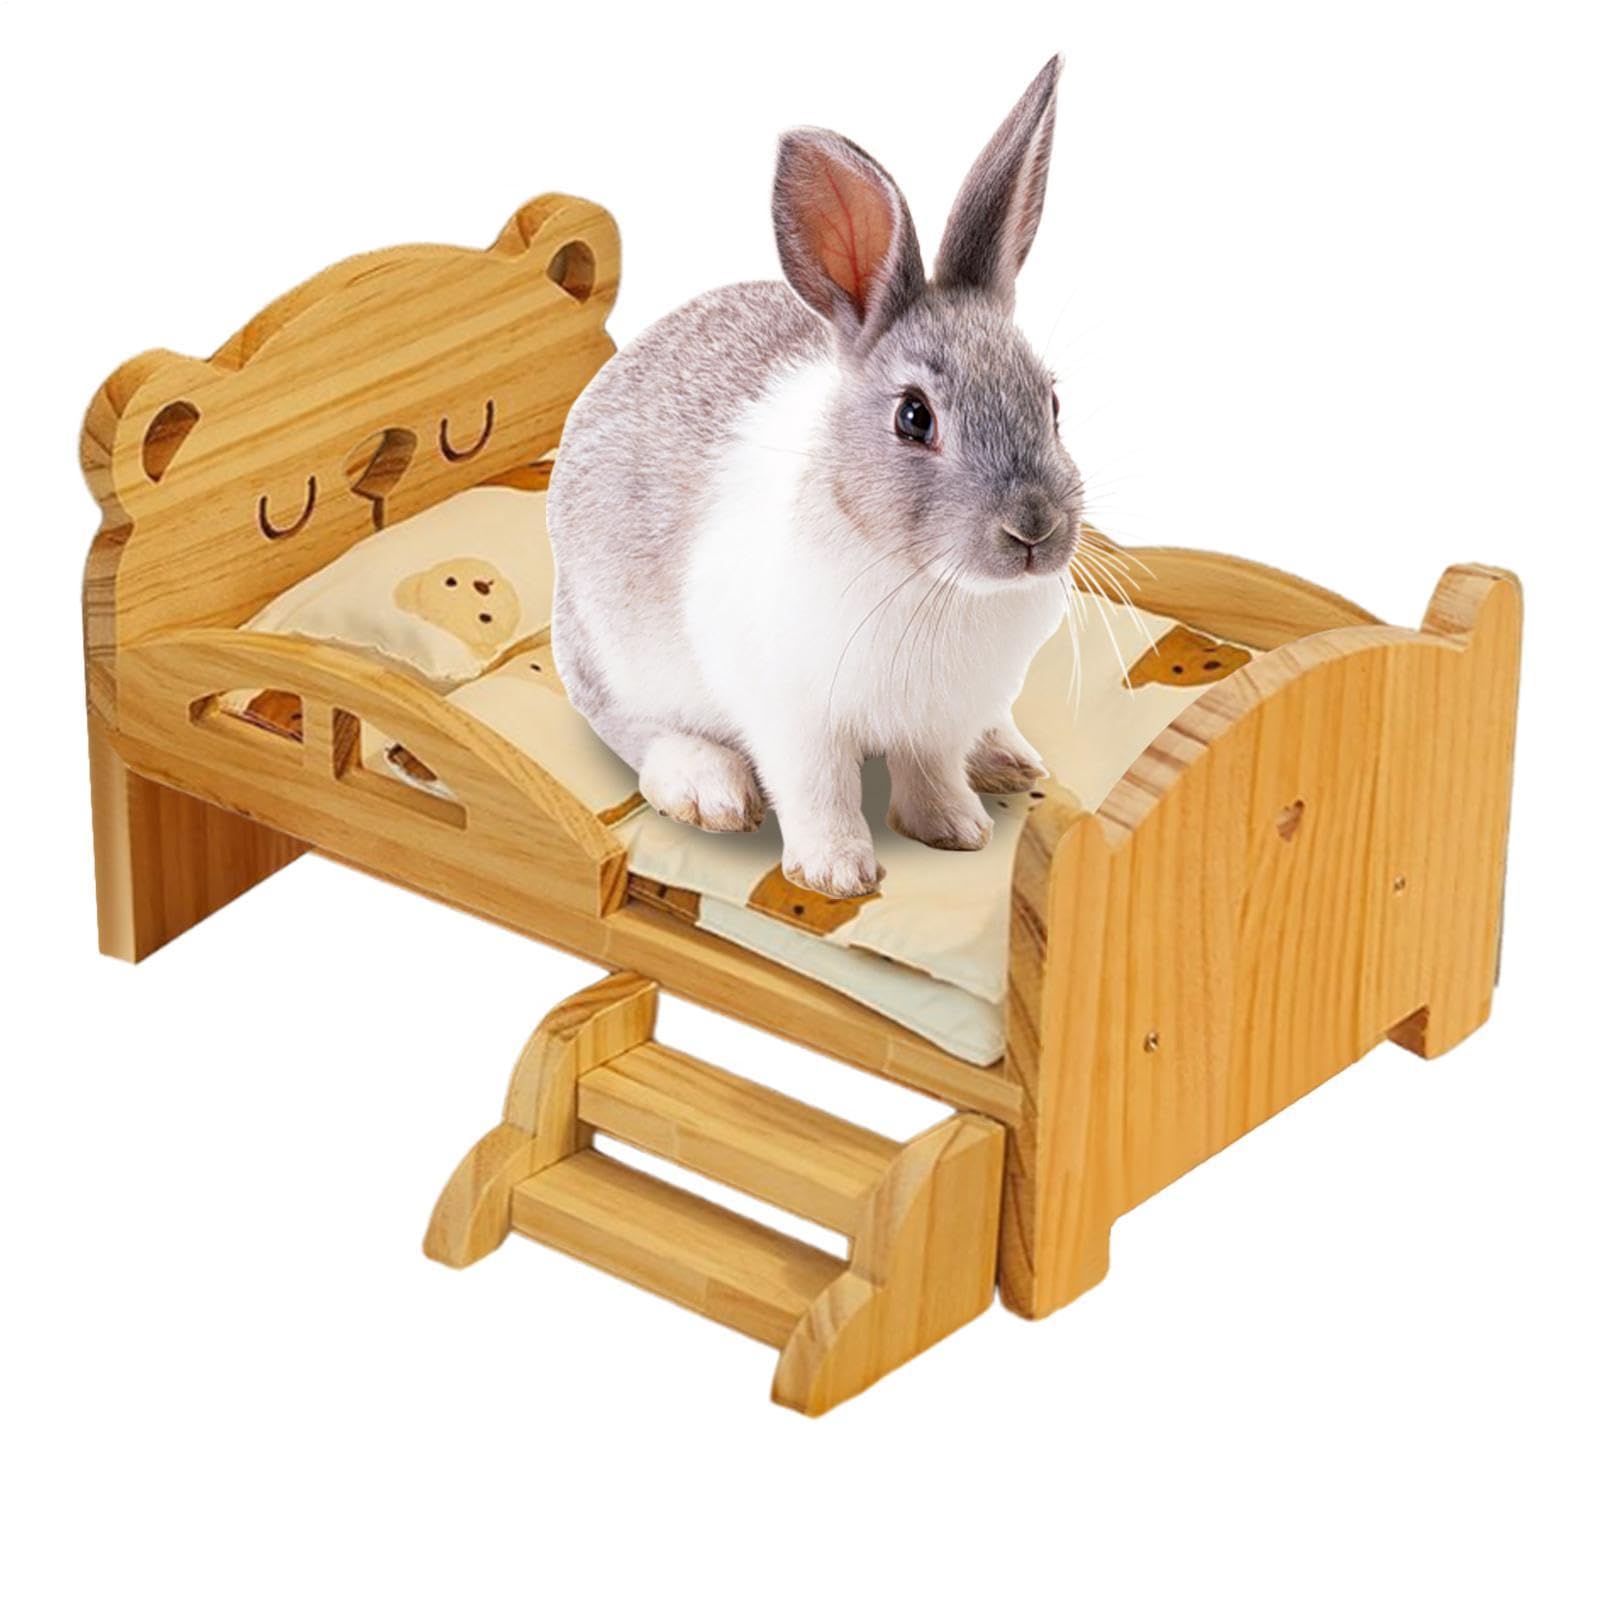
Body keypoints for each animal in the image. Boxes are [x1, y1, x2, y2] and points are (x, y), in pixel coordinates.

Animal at [548, 56, 1083, 899]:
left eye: (1052, 402)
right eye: (913, 417)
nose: (1033, 529)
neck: (928, 581)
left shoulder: (936, 720)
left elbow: (931, 771)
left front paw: (954, 830)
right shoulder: (793, 716)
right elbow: (817, 787)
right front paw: (836, 874)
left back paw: (1005, 757)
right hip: (612, 656)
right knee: (632, 727)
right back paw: (706, 786)